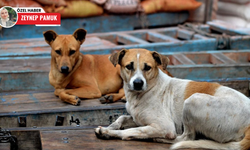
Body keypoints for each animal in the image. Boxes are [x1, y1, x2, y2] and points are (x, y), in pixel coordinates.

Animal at [94, 48, 250, 150]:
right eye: (129, 66)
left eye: (148, 67)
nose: (138, 83)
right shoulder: (137, 118)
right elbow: (122, 118)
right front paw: (112, 126)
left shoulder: (165, 126)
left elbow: (131, 131)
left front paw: (108, 132)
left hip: (193, 101)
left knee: (186, 137)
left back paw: (158, 138)